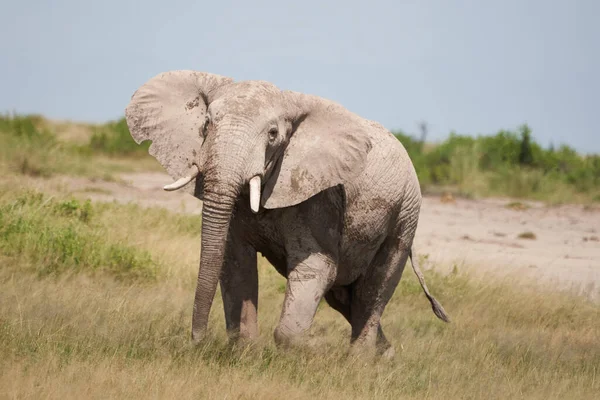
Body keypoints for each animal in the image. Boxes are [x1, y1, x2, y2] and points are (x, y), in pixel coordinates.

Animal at [124, 70, 448, 358]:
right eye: (206, 124)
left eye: (272, 134)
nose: (197, 342)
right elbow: (236, 262)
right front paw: (245, 356)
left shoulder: (320, 196)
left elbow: (315, 267)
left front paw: (307, 352)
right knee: (345, 297)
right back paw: (386, 357)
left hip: (405, 214)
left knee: (373, 289)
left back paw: (359, 363)